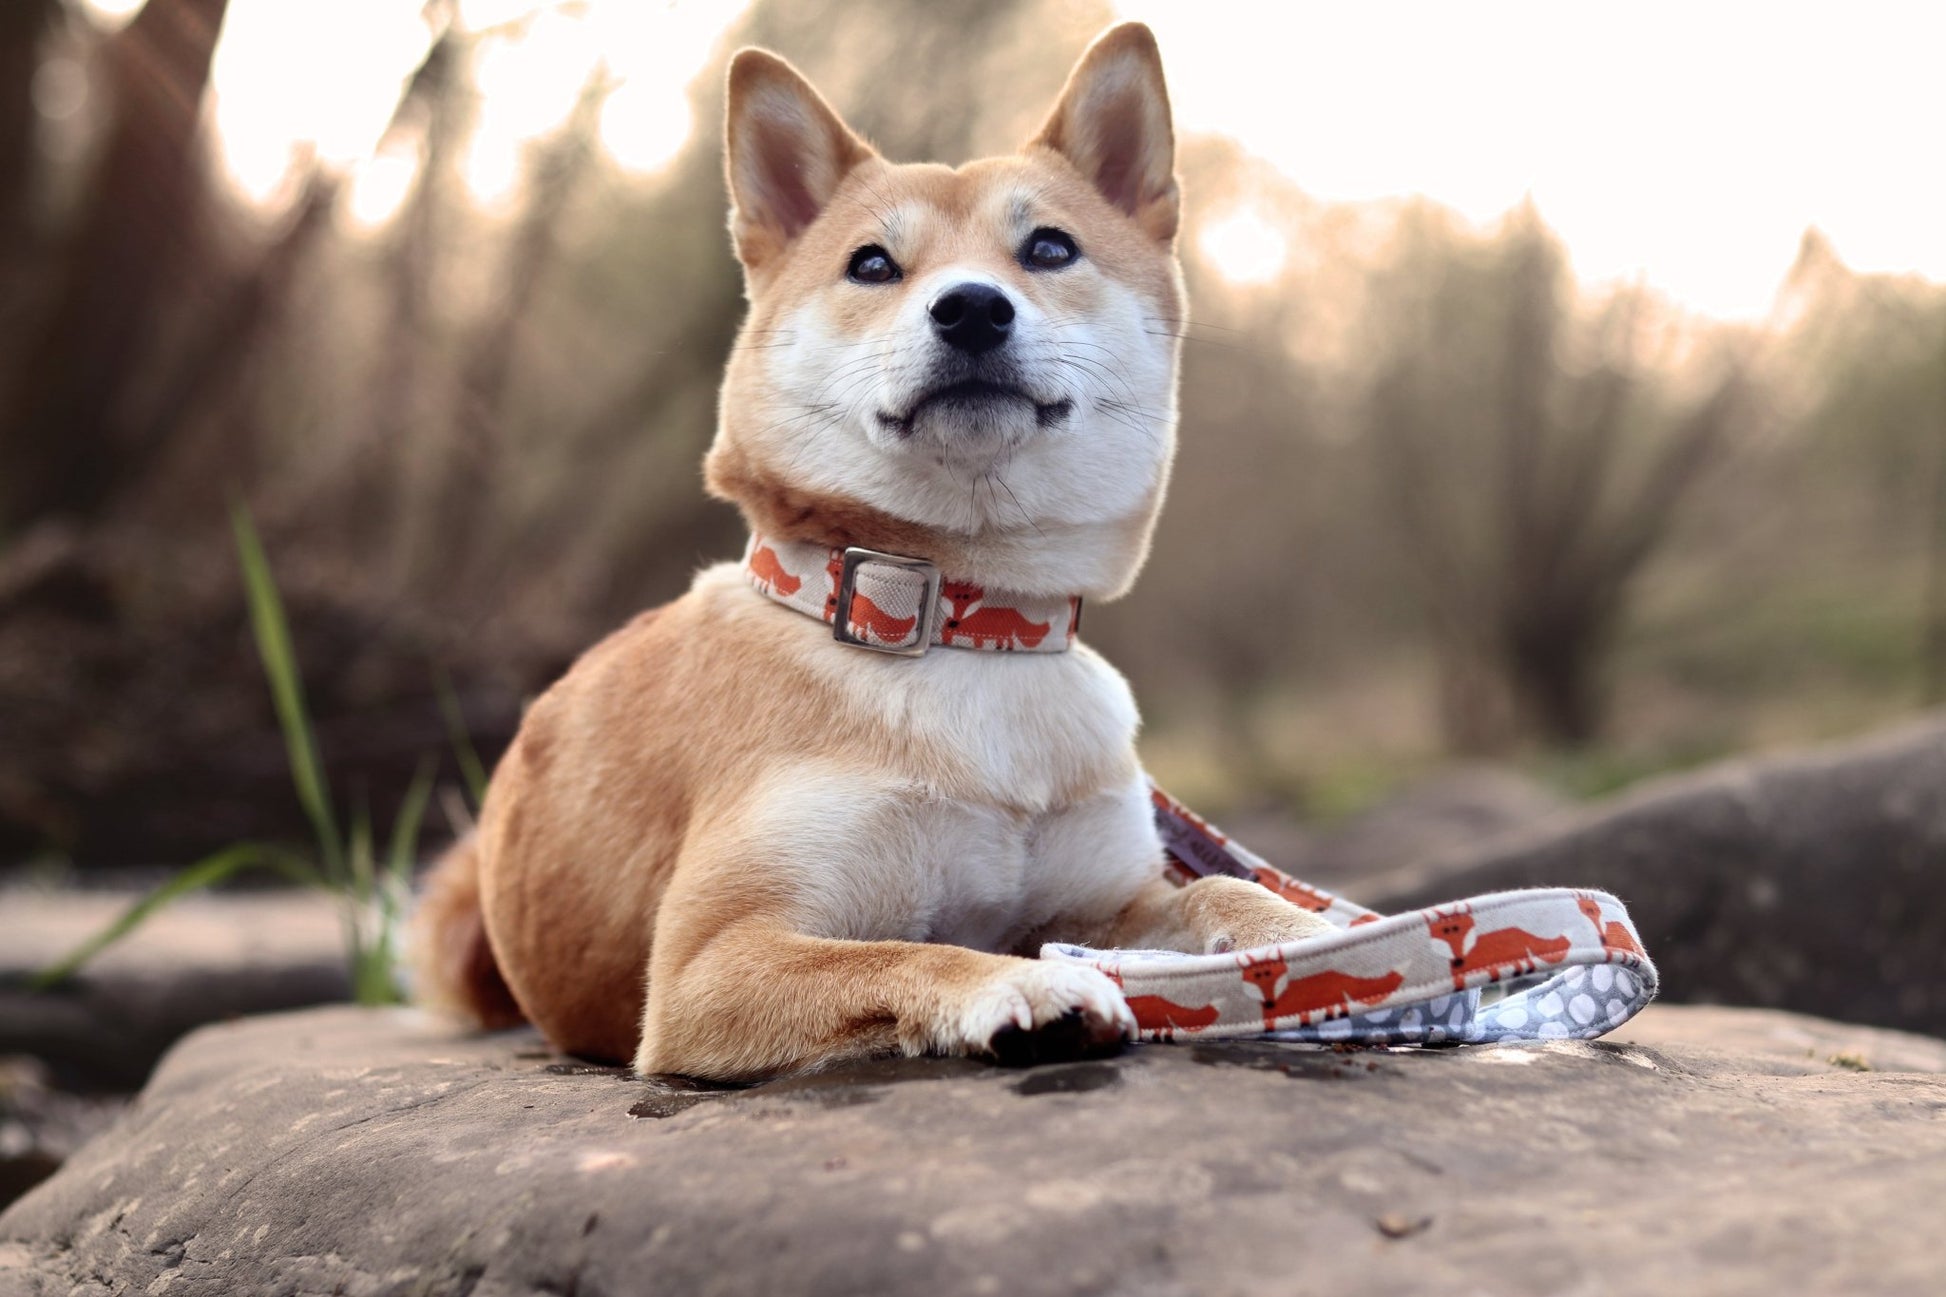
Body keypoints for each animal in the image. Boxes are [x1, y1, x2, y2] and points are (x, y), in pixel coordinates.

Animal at [411, 24, 1332, 1082]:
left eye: (1049, 248)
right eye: (872, 264)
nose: (971, 307)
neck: (960, 624)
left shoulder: (1104, 902)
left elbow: (1215, 894)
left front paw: (1300, 932)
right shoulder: (709, 965)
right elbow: (910, 949)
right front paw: (1019, 987)